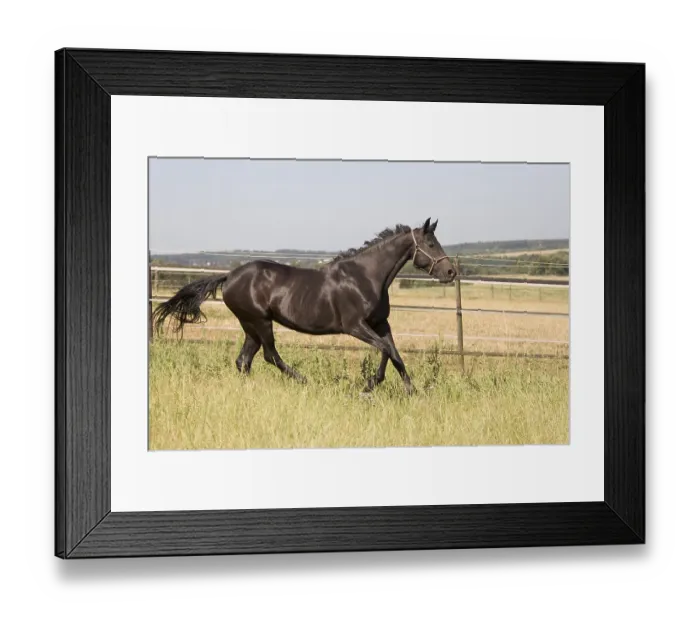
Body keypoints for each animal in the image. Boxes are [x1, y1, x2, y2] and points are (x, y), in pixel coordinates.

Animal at [152, 217, 456, 394]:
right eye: (431, 243)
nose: (451, 272)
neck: (366, 276)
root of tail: (229, 277)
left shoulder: (382, 323)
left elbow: (395, 353)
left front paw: (411, 391)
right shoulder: (355, 326)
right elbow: (384, 350)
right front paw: (369, 386)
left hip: (250, 326)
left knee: (244, 360)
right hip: (259, 321)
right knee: (269, 356)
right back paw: (304, 381)